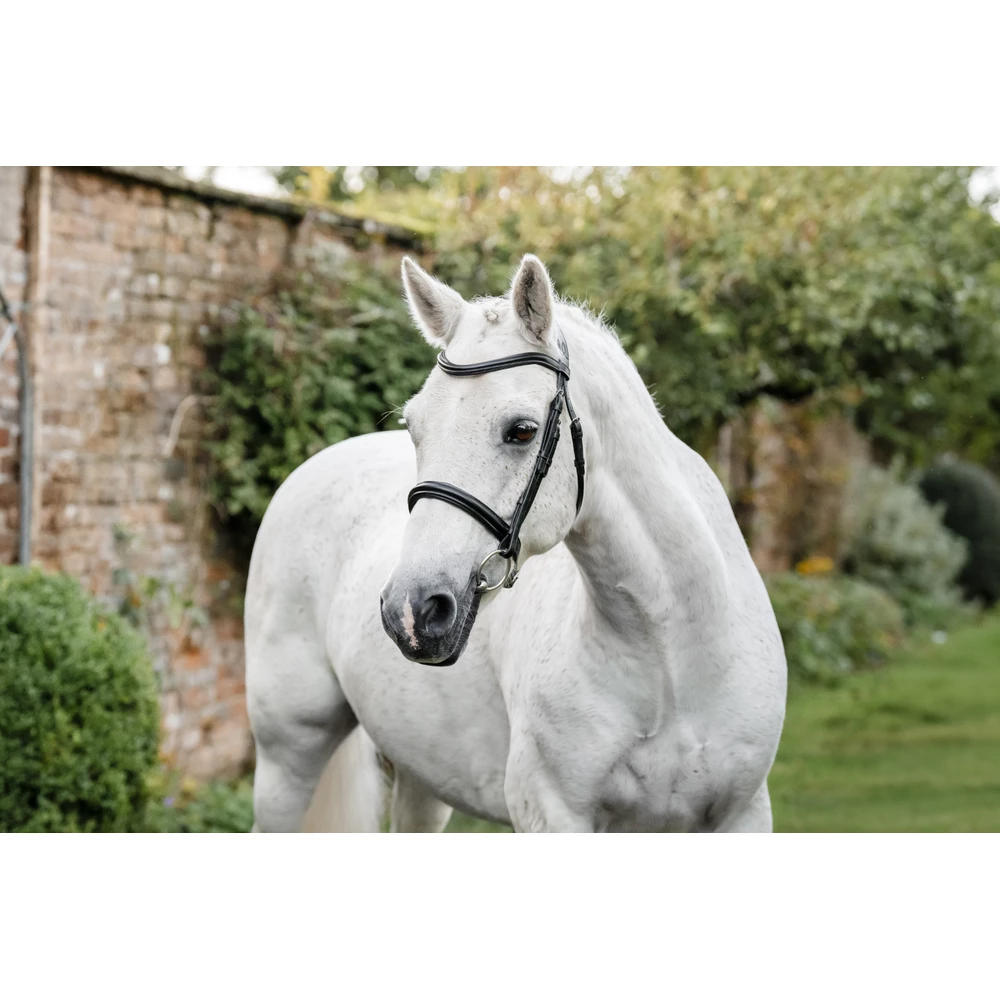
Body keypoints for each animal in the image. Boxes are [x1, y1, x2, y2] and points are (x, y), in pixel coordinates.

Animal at [245, 254, 787, 833]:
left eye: (522, 431)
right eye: (415, 427)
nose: (411, 611)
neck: (670, 656)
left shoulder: (744, 814)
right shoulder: (553, 813)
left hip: (423, 776)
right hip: (287, 758)